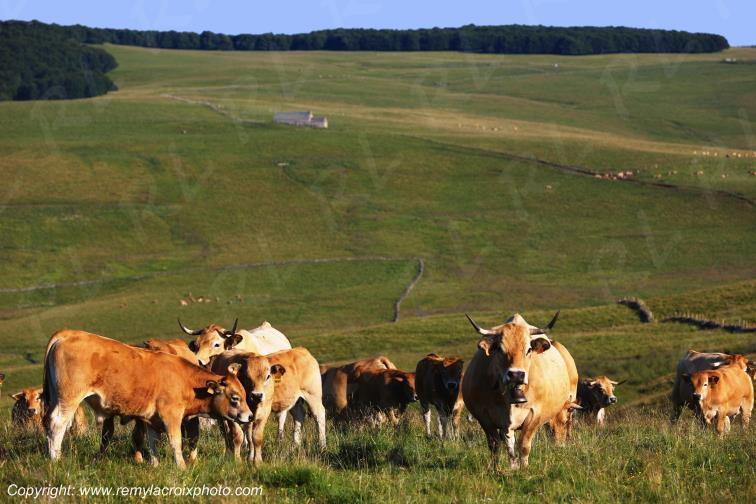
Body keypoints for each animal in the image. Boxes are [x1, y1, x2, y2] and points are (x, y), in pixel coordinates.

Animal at [43, 329, 253, 469]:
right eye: (235, 397)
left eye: (243, 395)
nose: (250, 416)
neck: (183, 378)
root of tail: (67, 333)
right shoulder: (171, 416)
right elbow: (175, 442)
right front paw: (182, 467)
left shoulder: (152, 419)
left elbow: (153, 443)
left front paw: (155, 465)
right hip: (68, 399)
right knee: (57, 424)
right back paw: (56, 459)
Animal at [462, 311, 579, 470]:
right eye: (499, 349)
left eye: (528, 349)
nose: (516, 374)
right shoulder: (484, 416)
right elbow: (495, 445)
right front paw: (497, 469)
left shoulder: (535, 415)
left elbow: (523, 445)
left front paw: (524, 468)